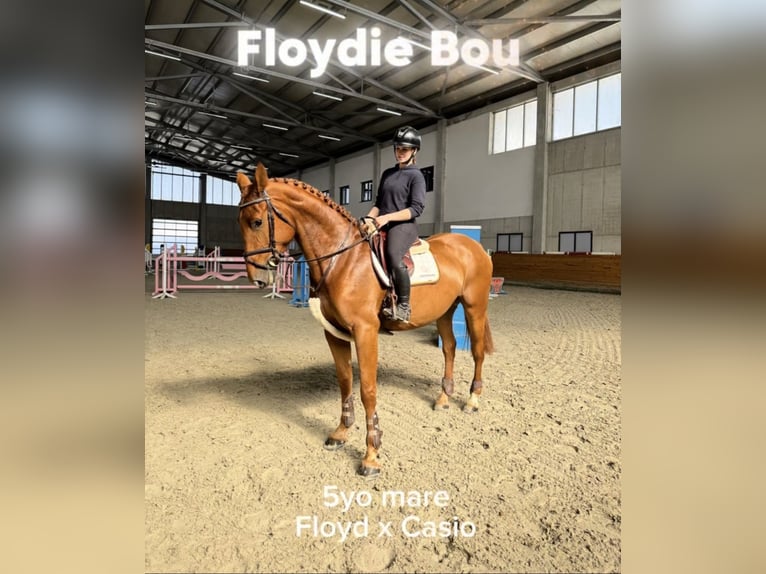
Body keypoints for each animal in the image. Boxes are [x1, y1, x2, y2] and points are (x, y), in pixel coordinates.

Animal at [236, 162, 494, 478]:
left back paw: (471, 400)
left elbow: (367, 390)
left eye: (257, 222)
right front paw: (340, 433)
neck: (343, 260)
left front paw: (371, 455)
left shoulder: (365, 332)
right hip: (445, 311)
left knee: (477, 351)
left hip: (474, 307)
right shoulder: (334, 333)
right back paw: (443, 398)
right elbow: (345, 381)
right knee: (449, 348)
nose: (257, 277)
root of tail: (472, 245)